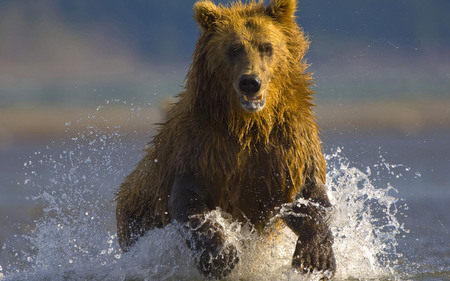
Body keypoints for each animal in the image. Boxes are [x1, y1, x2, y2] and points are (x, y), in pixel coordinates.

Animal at [116, 0, 334, 278]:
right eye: (234, 48)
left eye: (267, 47)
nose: (250, 82)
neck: (248, 125)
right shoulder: (202, 147)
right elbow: (188, 202)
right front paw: (221, 256)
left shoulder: (287, 144)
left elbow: (307, 196)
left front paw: (316, 258)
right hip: (138, 215)